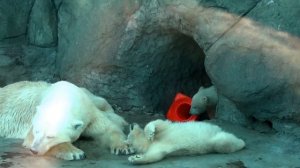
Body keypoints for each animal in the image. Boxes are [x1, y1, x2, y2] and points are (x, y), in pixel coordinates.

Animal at [0, 81, 131, 160]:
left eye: (50, 136)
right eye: (36, 131)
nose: (34, 150)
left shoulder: (89, 111)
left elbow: (107, 128)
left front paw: (124, 147)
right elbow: (30, 138)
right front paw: (75, 153)